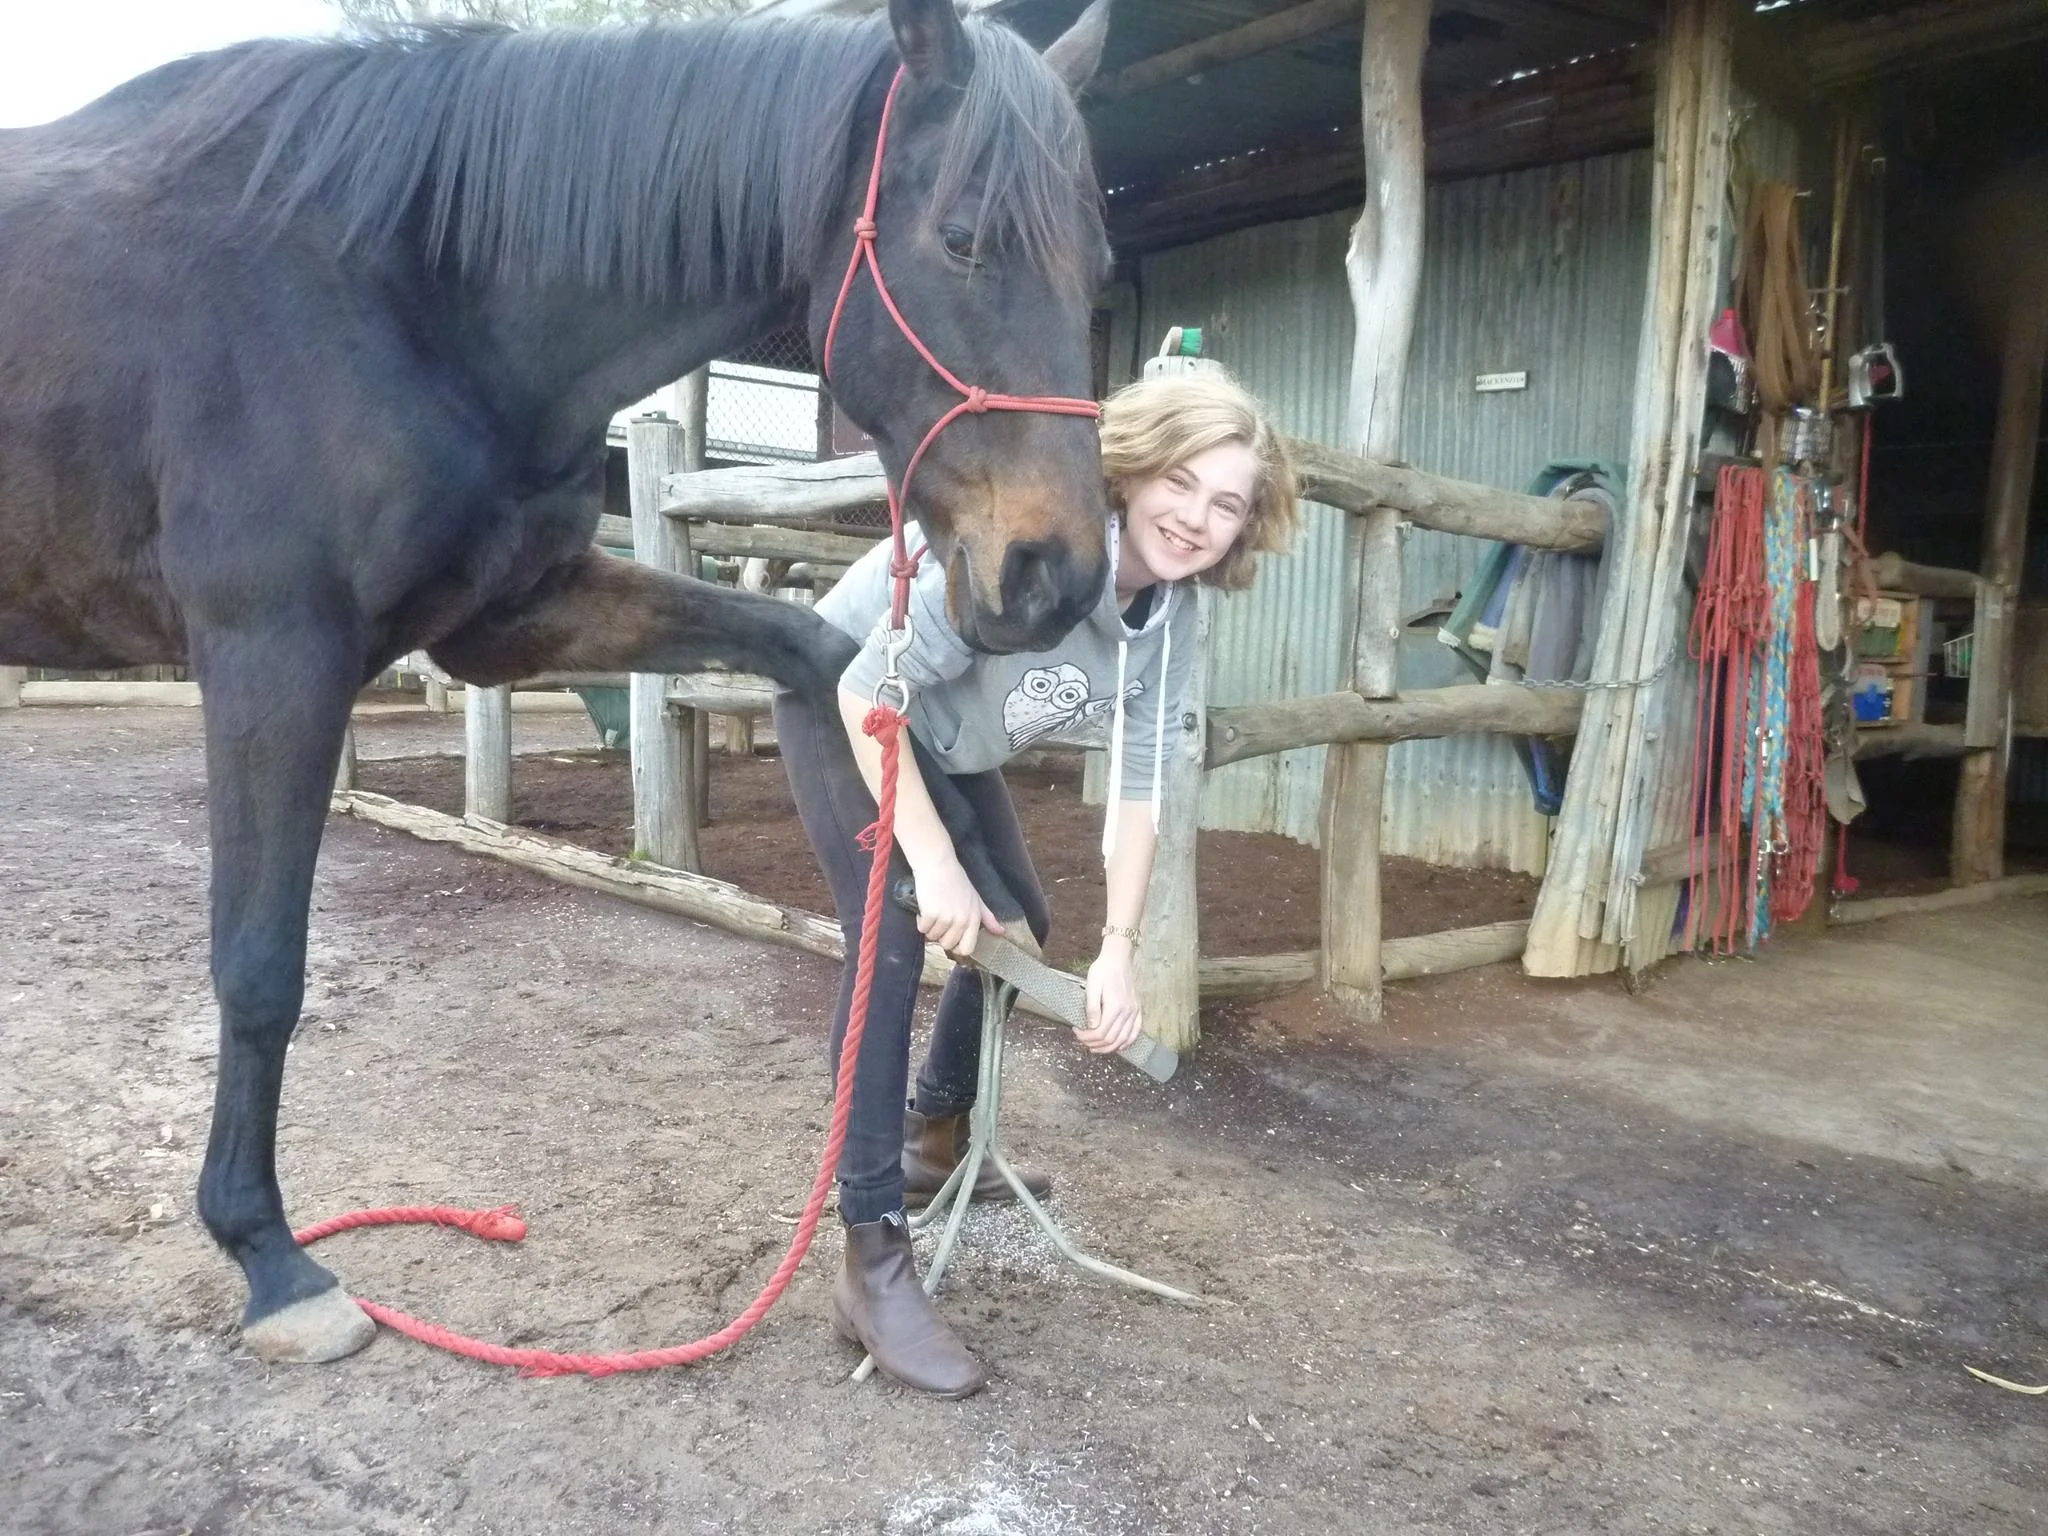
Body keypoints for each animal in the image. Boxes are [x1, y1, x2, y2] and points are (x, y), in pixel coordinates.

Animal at [0, 0, 1113, 1365]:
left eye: (1096, 265)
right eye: (960, 239)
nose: (1056, 573)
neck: (399, 290)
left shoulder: (513, 619)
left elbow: (816, 662)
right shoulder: (274, 651)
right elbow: (259, 966)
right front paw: (268, 1257)